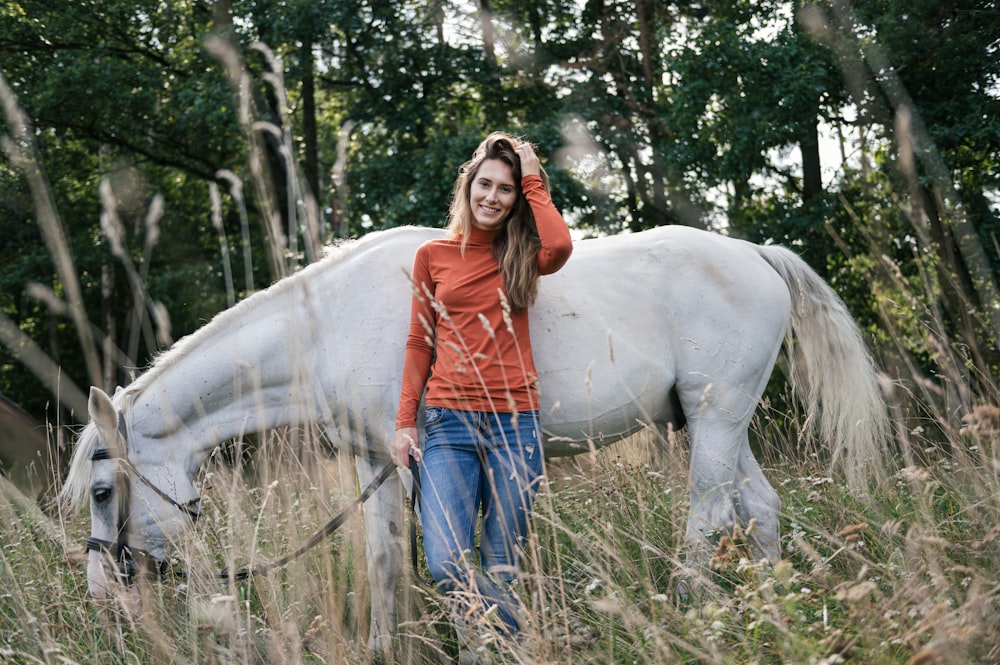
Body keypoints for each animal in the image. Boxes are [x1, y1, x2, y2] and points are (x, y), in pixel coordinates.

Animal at [60, 226, 892, 652]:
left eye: (103, 490)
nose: (102, 594)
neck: (328, 326)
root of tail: (754, 253)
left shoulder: (421, 465)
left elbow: (448, 562)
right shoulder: (377, 461)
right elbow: (386, 564)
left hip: (715, 422)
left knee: (708, 517)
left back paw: (688, 615)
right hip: (721, 420)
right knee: (759, 509)